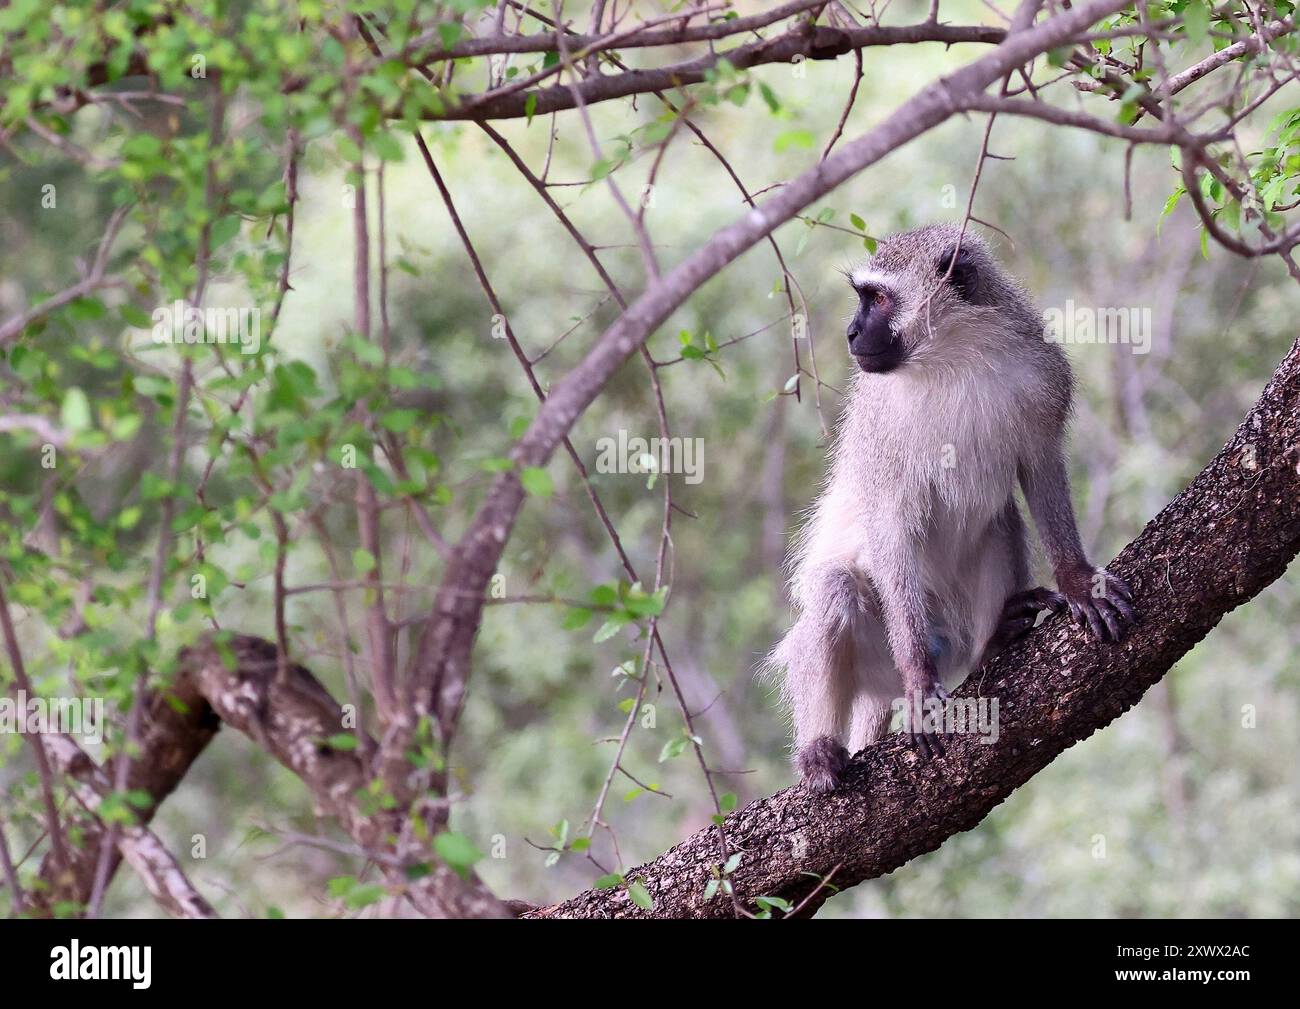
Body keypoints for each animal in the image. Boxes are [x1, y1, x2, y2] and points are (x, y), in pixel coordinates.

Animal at [769, 224, 1138, 790]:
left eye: (878, 299)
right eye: (863, 297)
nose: (851, 334)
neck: (952, 355)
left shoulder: (1040, 374)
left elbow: (1039, 467)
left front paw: (1078, 579)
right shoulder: (879, 424)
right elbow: (888, 522)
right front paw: (920, 680)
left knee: (1000, 519)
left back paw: (994, 640)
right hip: (878, 656)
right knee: (833, 587)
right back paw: (819, 746)